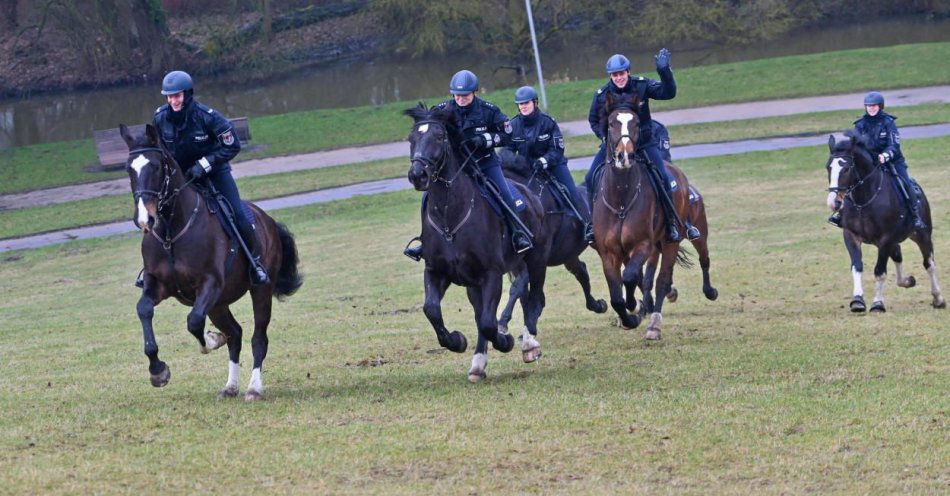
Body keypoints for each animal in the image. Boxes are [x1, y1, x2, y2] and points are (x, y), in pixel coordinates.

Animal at [119, 123, 304, 400]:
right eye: (129, 168)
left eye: (157, 166)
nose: (145, 219)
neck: (171, 233)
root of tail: (268, 220)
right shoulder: (157, 284)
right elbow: (144, 310)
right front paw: (158, 371)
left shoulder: (209, 284)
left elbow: (194, 321)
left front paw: (212, 340)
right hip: (218, 304)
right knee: (236, 334)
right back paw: (230, 386)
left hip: (259, 291)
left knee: (258, 338)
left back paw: (253, 388)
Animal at [406, 101, 556, 380]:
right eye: (412, 138)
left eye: (440, 136)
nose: (417, 174)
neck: (450, 218)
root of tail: (532, 196)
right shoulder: (436, 271)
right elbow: (432, 310)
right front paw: (457, 341)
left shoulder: (492, 274)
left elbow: (488, 323)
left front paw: (505, 340)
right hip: (474, 284)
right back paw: (478, 363)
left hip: (536, 261)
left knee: (534, 300)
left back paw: (529, 344)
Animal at [498, 149, 608, 332]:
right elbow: (524, 294)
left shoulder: (537, 257)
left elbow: (518, 288)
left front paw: (504, 322)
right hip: (568, 254)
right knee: (581, 272)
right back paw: (598, 305)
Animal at [592, 93, 696, 340]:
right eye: (611, 124)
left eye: (637, 123)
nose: (625, 155)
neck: (621, 197)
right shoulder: (609, 252)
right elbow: (616, 295)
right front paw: (629, 317)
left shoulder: (643, 245)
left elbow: (630, 277)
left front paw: (634, 307)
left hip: (669, 241)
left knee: (662, 280)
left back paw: (654, 325)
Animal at [820, 132, 948, 310]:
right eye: (828, 167)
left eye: (846, 169)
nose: (834, 202)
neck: (864, 200)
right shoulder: (851, 235)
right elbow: (857, 267)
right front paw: (858, 301)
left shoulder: (886, 238)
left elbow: (879, 271)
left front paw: (878, 303)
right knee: (898, 255)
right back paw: (906, 281)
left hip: (922, 235)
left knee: (929, 264)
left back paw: (938, 298)